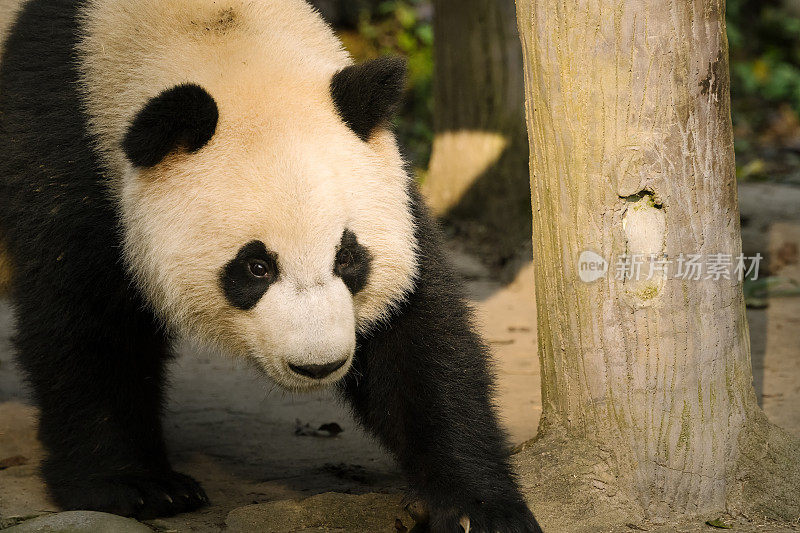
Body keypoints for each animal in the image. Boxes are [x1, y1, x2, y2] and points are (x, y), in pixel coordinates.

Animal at [0, 1, 544, 528]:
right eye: (256, 267)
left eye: (348, 257)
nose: (318, 364)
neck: (218, 35)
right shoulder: (67, 144)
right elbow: (86, 322)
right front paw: (138, 486)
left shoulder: (391, 187)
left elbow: (418, 338)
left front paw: (478, 506)